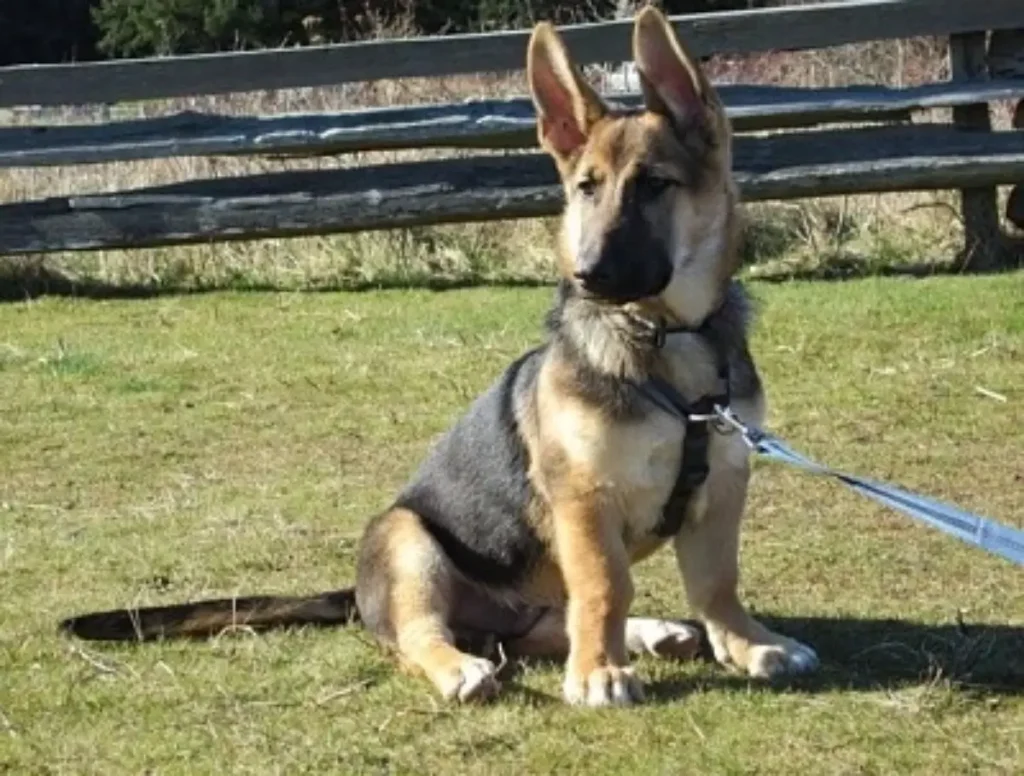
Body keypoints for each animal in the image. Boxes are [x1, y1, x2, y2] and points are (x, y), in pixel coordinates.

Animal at [61, 7, 815, 712]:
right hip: (409, 542)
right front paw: (600, 673)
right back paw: (465, 668)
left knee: (547, 625)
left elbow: (715, 582)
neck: (665, 340)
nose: (587, 276)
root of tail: (361, 593)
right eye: (586, 188)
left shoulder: (723, 483)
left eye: (656, 184)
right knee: (428, 636)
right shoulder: (582, 498)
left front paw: (749, 644)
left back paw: (656, 632)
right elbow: (605, 586)